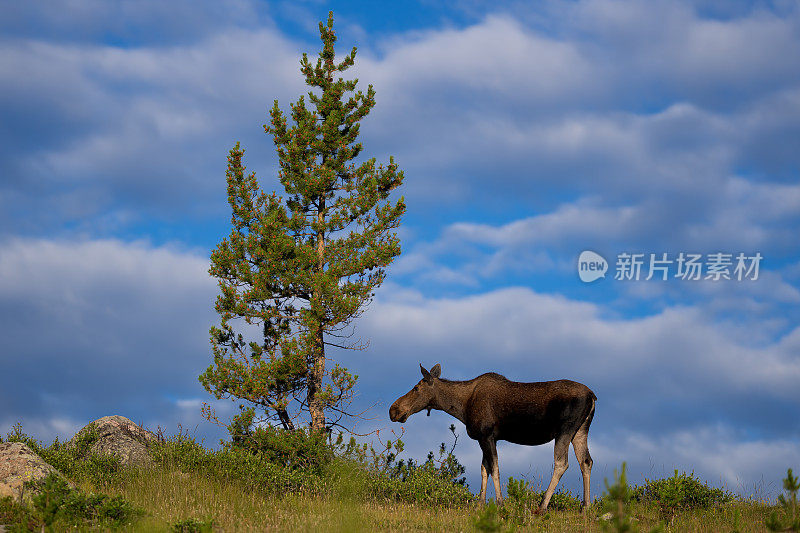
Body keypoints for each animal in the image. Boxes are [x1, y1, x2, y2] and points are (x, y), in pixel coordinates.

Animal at [388, 364, 592, 510]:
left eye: (416, 388)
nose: (393, 410)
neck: (462, 407)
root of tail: (592, 396)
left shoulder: (487, 435)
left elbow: (494, 468)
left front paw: (500, 503)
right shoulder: (484, 438)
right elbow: (484, 468)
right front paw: (480, 505)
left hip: (565, 430)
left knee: (561, 463)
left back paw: (542, 507)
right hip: (580, 431)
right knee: (586, 461)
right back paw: (586, 507)